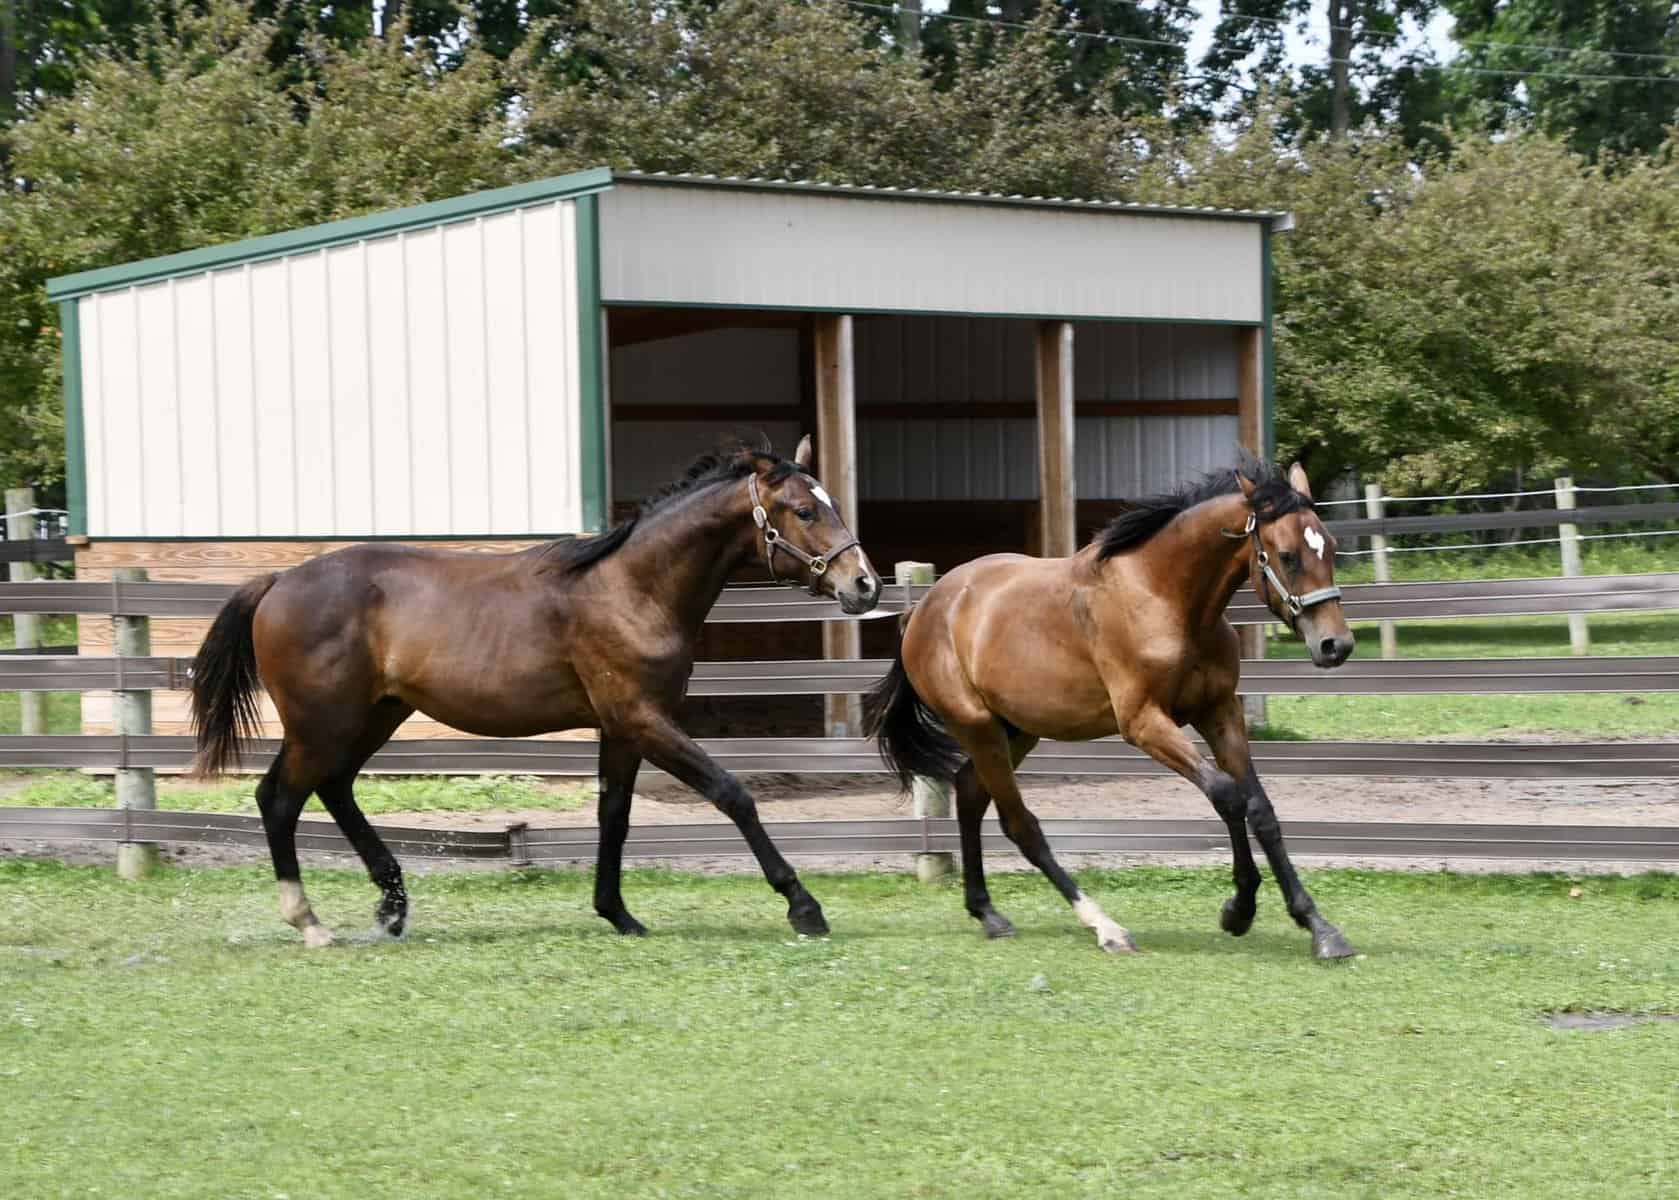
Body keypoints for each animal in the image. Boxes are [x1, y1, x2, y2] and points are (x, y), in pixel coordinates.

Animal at [190, 438, 882, 946]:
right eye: (804, 511)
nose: (865, 584)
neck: (632, 587)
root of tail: (280, 581)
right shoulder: (644, 717)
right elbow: (732, 794)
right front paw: (803, 906)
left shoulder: (621, 726)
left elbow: (614, 815)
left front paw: (618, 914)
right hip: (321, 723)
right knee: (279, 799)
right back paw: (311, 923)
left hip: (376, 715)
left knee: (333, 789)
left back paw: (391, 907)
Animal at [864, 455, 1358, 960]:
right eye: (1288, 555)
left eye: (1331, 548)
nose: (1335, 645)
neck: (1164, 597)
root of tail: (924, 608)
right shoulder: (1143, 723)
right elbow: (1226, 795)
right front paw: (1239, 909)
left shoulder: (1219, 713)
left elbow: (1260, 808)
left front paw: (1319, 927)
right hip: (977, 727)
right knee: (1020, 824)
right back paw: (1106, 927)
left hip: (1017, 730)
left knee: (968, 793)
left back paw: (988, 913)